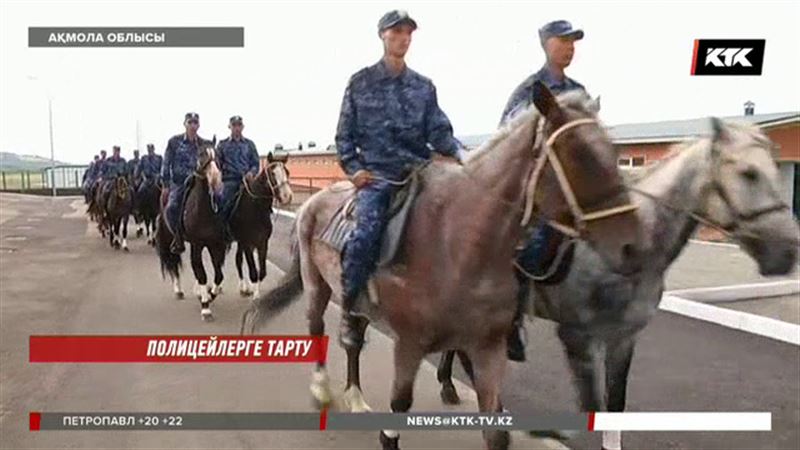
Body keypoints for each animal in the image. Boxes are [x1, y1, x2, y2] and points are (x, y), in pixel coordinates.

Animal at [155, 139, 225, 322]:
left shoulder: (214, 245)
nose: (215, 179)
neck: (203, 210)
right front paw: (206, 308)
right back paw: (178, 290)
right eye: (201, 155)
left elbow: (218, 274)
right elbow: (202, 274)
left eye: (217, 154)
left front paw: (209, 294)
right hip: (169, 240)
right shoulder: (197, 244)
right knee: (173, 263)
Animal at [231, 155, 294, 298]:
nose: (287, 196)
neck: (255, 208)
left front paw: (256, 292)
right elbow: (253, 271)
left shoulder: (262, 242)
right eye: (272, 173)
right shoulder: (247, 243)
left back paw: (244, 287)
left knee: (238, 259)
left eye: (287, 172)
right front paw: (255, 296)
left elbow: (262, 271)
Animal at [242, 81, 644, 450]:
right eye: (578, 153)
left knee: (352, 342)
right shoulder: (409, 344)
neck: (458, 245)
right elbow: (398, 410)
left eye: (615, 153)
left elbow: (496, 432)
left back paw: (355, 396)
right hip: (317, 284)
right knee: (317, 327)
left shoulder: (488, 349)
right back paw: (323, 390)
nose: (632, 246)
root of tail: (313, 203)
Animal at [438, 118, 800, 448]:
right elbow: (591, 405)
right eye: (749, 173)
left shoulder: (624, 338)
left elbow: (613, 406)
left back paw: (451, 387)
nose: (787, 252)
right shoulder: (577, 337)